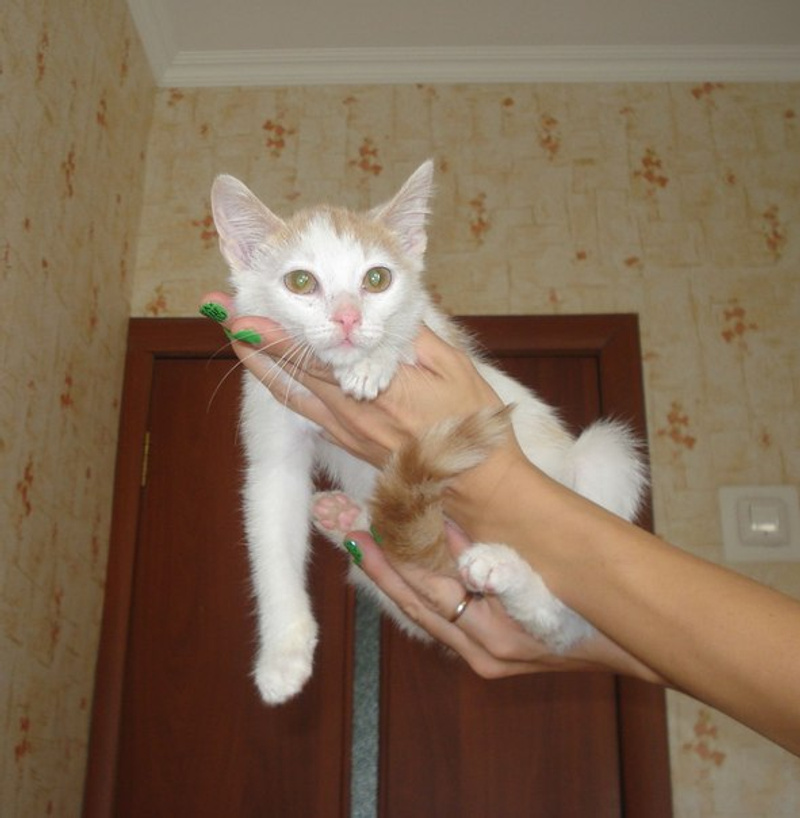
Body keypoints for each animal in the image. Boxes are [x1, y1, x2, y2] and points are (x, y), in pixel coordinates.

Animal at [210, 160, 647, 705]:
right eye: (300, 281)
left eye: (377, 279)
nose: (349, 318)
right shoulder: (272, 419)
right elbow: (270, 522)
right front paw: (282, 656)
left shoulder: (447, 343)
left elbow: (413, 329)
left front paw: (378, 358)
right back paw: (347, 519)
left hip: (604, 458)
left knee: (564, 621)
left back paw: (506, 572)